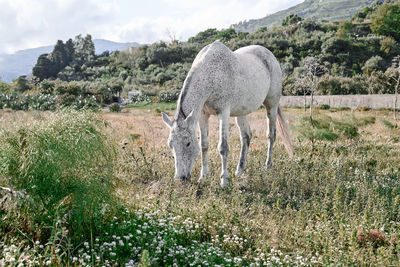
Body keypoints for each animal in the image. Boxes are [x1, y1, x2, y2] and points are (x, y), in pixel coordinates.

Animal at [162, 40, 294, 187]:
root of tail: (269, 55)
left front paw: (224, 180)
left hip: (271, 106)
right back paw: (240, 170)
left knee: (271, 135)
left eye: (188, 144)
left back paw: (267, 167)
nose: (180, 179)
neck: (211, 74)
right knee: (246, 137)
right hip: (241, 112)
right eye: (170, 145)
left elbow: (223, 147)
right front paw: (204, 176)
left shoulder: (223, 113)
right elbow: (204, 145)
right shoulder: (202, 115)